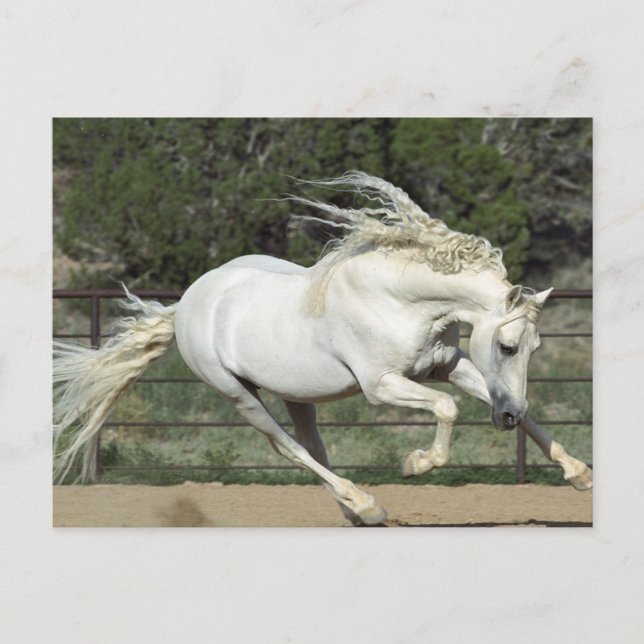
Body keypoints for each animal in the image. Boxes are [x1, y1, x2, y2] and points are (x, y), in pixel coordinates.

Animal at [53, 172, 592, 526]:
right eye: (506, 345)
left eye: (535, 347)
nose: (506, 418)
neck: (399, 299)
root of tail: (187, 303)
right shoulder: (382, 386)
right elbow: (447, 408)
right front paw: (416, 464)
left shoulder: (446, 366)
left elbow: (495, 406)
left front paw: (579, 474)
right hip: (238, 394)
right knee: (288, 449)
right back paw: (367, 505)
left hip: (297, 395)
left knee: (314, 446)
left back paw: (355, 510)